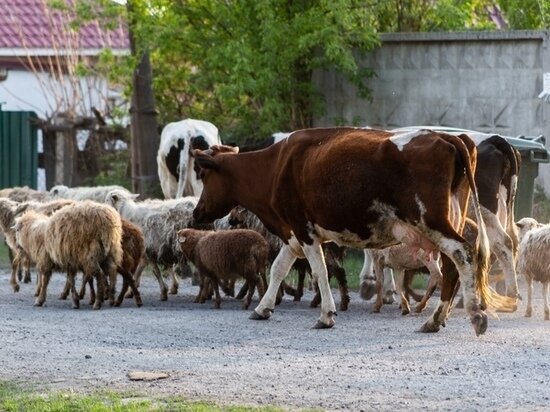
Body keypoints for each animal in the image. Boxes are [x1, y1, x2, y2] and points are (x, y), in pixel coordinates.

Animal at [193, 126, 516, 334]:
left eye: (205, 175)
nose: (197, 213)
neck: (276, 165)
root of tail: (448, 137)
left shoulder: (303, 229)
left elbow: (320, 271)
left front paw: (326, 314)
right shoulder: (293, 233)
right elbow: (278, 268)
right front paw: (263, 308)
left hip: (433, 221)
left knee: (463, 255)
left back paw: (471, 315)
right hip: (451, 219)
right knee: (453, 266)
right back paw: (438, 318)